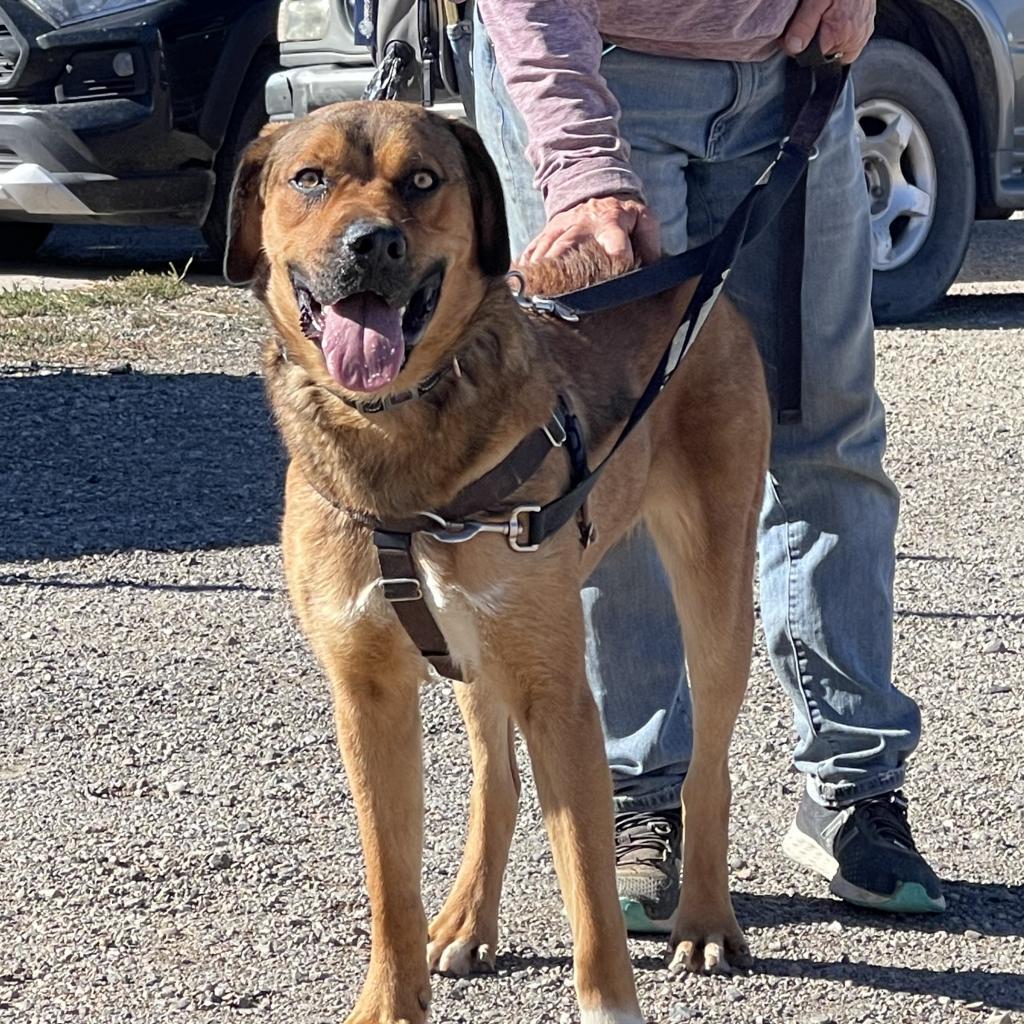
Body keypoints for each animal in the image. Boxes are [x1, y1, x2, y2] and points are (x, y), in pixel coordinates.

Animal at [224, 97, 770, 1024]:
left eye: (421, 180)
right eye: (310, 178)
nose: (373, 243)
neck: (400, 441)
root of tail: (684, 271)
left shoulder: (558, 695)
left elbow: (591, 897)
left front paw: (608, 999)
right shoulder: (368, 692)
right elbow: (390, 885)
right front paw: (393, 997)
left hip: (715, 593)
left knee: (708, 767)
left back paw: (702, 918)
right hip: (475, 654)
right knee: (496, 782)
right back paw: (468, 919)